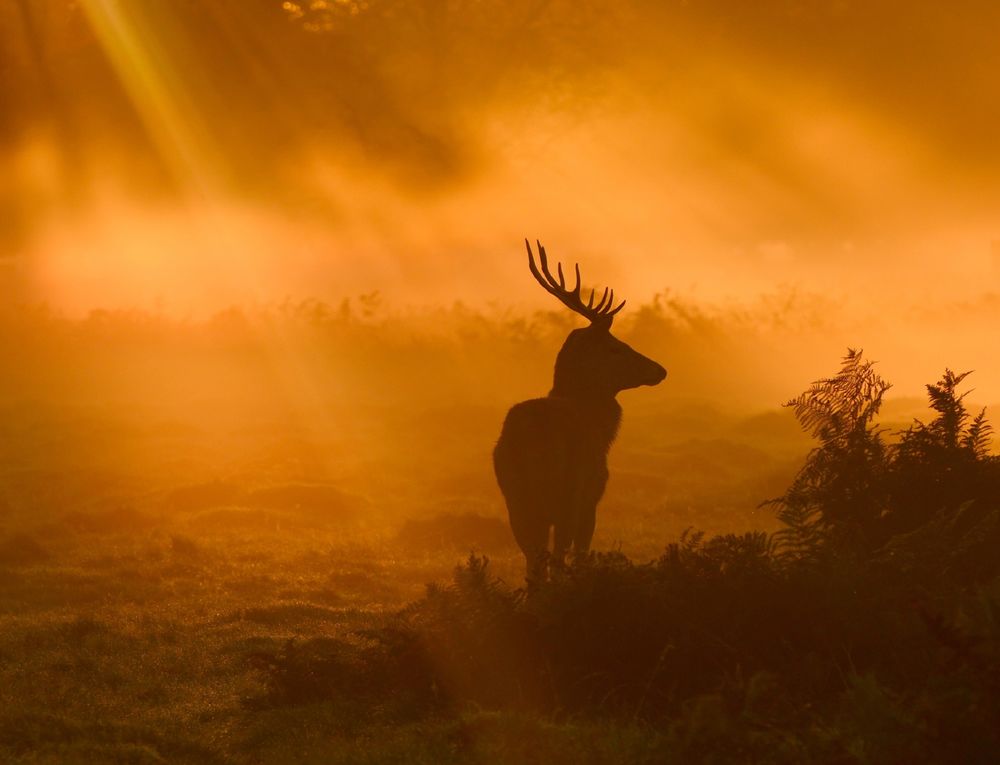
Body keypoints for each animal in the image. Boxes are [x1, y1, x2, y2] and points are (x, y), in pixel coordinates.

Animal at [492, 240, 664, 584]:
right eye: (616, 347)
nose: (660, 369)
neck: (600, 425)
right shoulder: (591, 495)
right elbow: (581, 554)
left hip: (517, 500)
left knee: (534, 563)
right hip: (565, 492)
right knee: (556, 558)